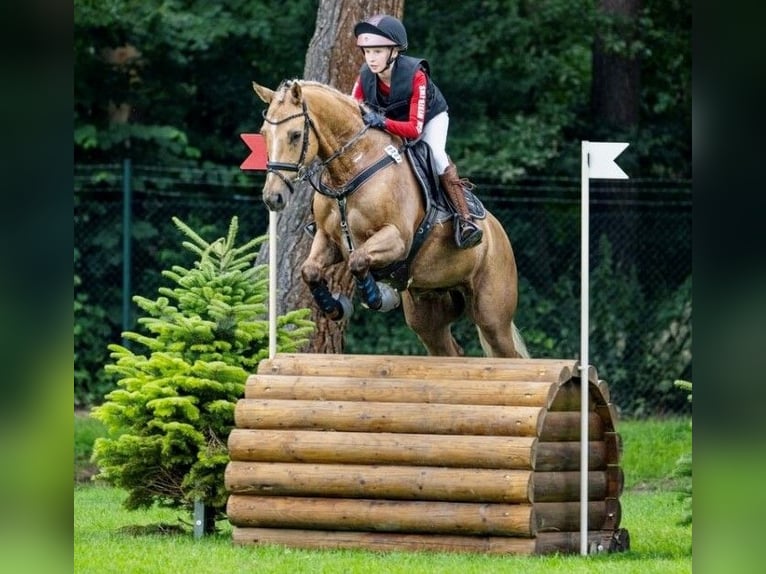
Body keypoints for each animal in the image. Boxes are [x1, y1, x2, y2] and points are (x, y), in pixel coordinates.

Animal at [255, 80, 532, 360]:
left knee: (508, 352)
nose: (272, 197)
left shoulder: (397, 239)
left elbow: (358, 260)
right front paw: (335, 307)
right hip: (428, 313)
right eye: (264, 133)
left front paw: (378, 297)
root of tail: (498, 233)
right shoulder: (328, 240)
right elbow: (310, 270)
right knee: (449, 349)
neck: (349, 170)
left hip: (491, 314)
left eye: (295, 135)